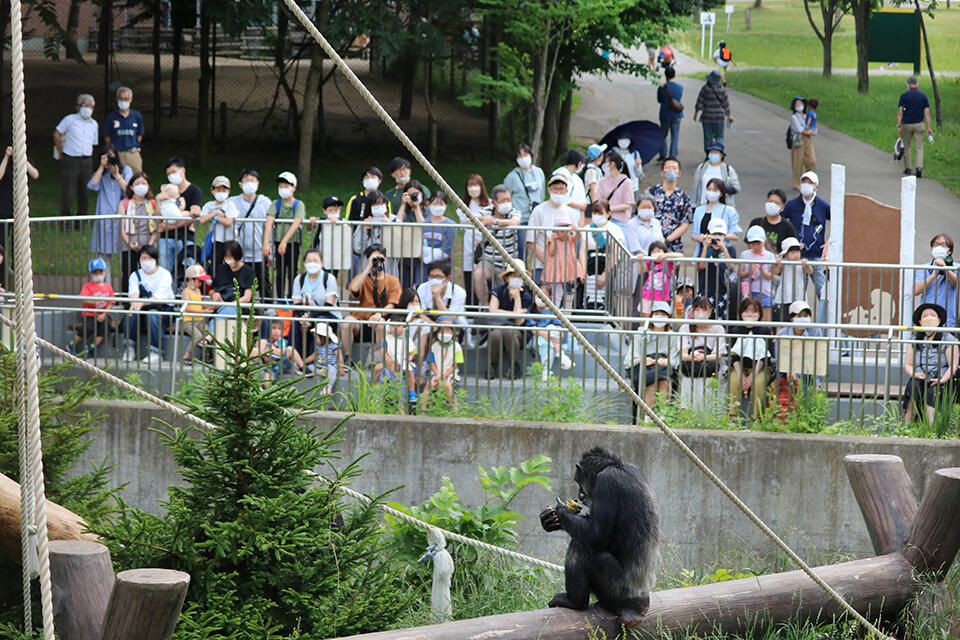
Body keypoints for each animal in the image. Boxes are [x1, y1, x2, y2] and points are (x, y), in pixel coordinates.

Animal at [540, 448, 660, 624]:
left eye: (578, 480)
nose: (579, 494)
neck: (616, 467)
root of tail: (638, 611)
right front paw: (549, 519)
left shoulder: (606, 483)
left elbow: (595, 534)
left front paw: (561, 510)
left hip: (617, 592)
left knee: (582, 547)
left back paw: (574, 601)